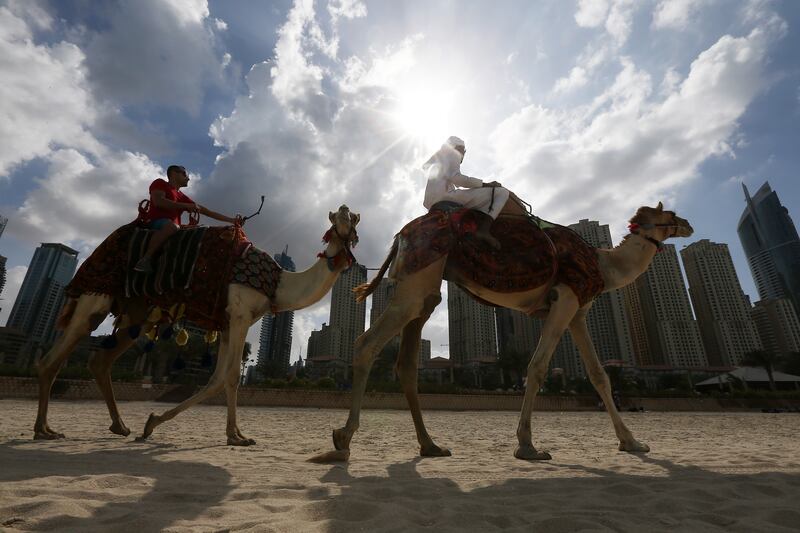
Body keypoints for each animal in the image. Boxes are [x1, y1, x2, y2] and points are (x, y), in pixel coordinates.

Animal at [34, 204, 360, 444]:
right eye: (338, 216)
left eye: (354, 217)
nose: (346, 210)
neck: (277, 283)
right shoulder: (240, 314)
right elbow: (231, 377)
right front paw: (235, 437)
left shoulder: (228, 322)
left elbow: (218, 379)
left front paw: (153, 423)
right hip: (95, 298)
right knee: (53, 358)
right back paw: (44, 430)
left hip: (135, 314)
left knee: (100, 360)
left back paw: (120, 426)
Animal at [316, 202, 692, 460]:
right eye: (670, 214)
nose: (688, 224)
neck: (603, 264)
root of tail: (402, 235)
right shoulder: (565, 299)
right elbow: (537, 368)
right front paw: (528, 446)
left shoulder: (578, 314)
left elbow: (599, 375)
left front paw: (632, 442)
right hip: (416, 284)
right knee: (366, 344)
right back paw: (343, 439)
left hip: (424, 290)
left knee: (406, 364)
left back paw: (430, 446)